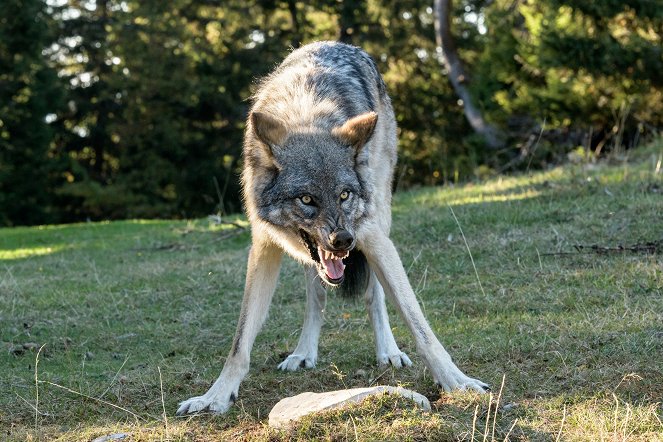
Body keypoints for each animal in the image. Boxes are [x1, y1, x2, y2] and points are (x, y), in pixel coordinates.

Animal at [176, 40, 488, 414]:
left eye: (344, 195)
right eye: (307, 199)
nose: (344, 240)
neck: (306, 114)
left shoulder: (371, 236)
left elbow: (420, 325)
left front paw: (457, 381)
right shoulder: (263, 246)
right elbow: (240, 341)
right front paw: (215, 396)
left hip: (380, 219)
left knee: (374, 294)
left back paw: (389, 351)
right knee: (317, 294)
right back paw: (303, 352)